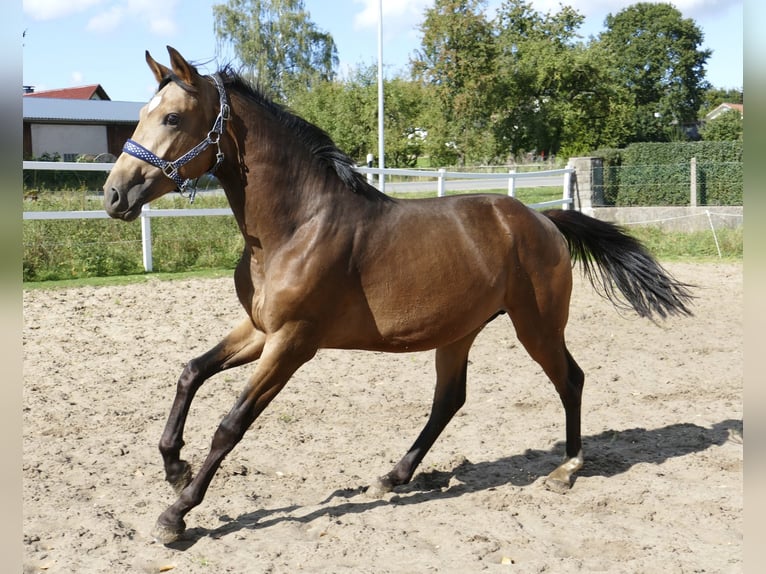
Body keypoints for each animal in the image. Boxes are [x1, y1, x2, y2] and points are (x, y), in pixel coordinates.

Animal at [102, 47, 696, 548]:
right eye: (141, 117)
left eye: (172, 119)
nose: (114, 194)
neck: (297, 226)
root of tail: (541, 219)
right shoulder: (260, 329)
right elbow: (191, 371)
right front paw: (173, 467)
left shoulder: (293, 343)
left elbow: (231, 425)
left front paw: (176, 514)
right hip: (459, 331)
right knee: (449, 400)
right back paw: (393, 476)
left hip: (537, 326)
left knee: (569, 380)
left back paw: (566, 470)